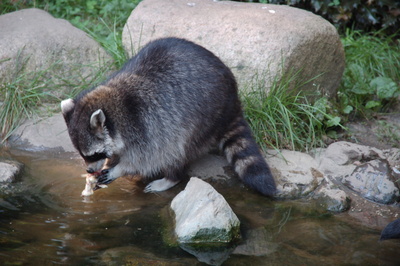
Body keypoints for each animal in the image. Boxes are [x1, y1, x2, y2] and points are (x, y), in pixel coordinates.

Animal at [61, 37, 276, 195]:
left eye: (94, 154)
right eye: (83, 155)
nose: (89, 170)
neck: (114, 108)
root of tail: (232, 100)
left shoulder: (145, 125)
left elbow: (147, 159)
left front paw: (120, 168)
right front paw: (109, 164)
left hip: (205, 117)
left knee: (178, 149)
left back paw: (172, 177)